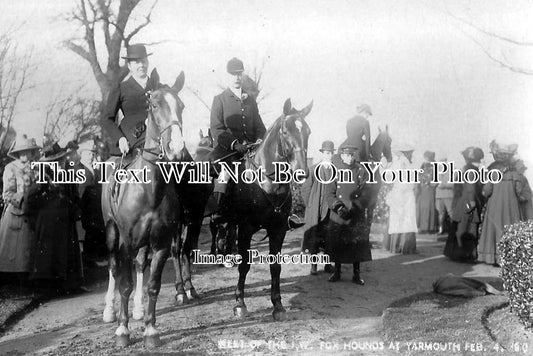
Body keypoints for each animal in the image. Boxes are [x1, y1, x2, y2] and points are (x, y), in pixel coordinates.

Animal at [101, 69, 188, 348]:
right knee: (113, 268)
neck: (149, 190)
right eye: (155, 105)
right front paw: (122, 330)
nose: (175, 149)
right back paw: (110, 312)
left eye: (181, 106)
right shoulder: (126, 242)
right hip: (111, 233)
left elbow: (152, 285)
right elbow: (125, 285)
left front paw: (150, 329)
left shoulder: (160, 244)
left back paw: (138, 310)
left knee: (140, 266)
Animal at [221, 97, 312, 320]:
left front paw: (277, 305)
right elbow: (245, 265)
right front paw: (240, 303)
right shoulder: (246, 229)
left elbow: (275, 266)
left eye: (308, 131)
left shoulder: (278, 230)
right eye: (285, 131)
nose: (301, 171)